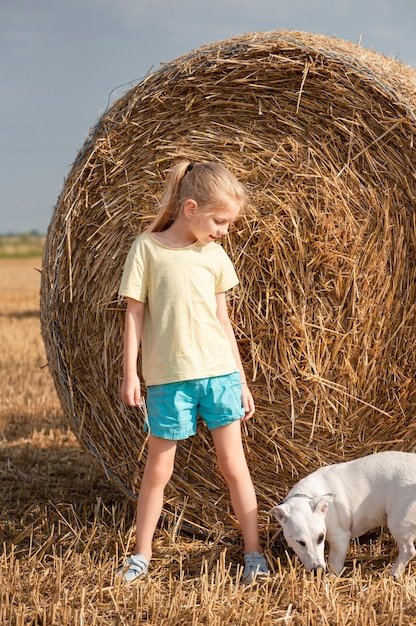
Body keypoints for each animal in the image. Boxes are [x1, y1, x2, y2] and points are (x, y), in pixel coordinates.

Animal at [268, 448, 416, 576]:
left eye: (321, 537)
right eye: (300, 542)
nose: (318, 570)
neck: (307, 495)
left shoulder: (340, 538)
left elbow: (335, 562)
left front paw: (331, 579)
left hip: (398, 522)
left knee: (409, 550)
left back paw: (394, 573)